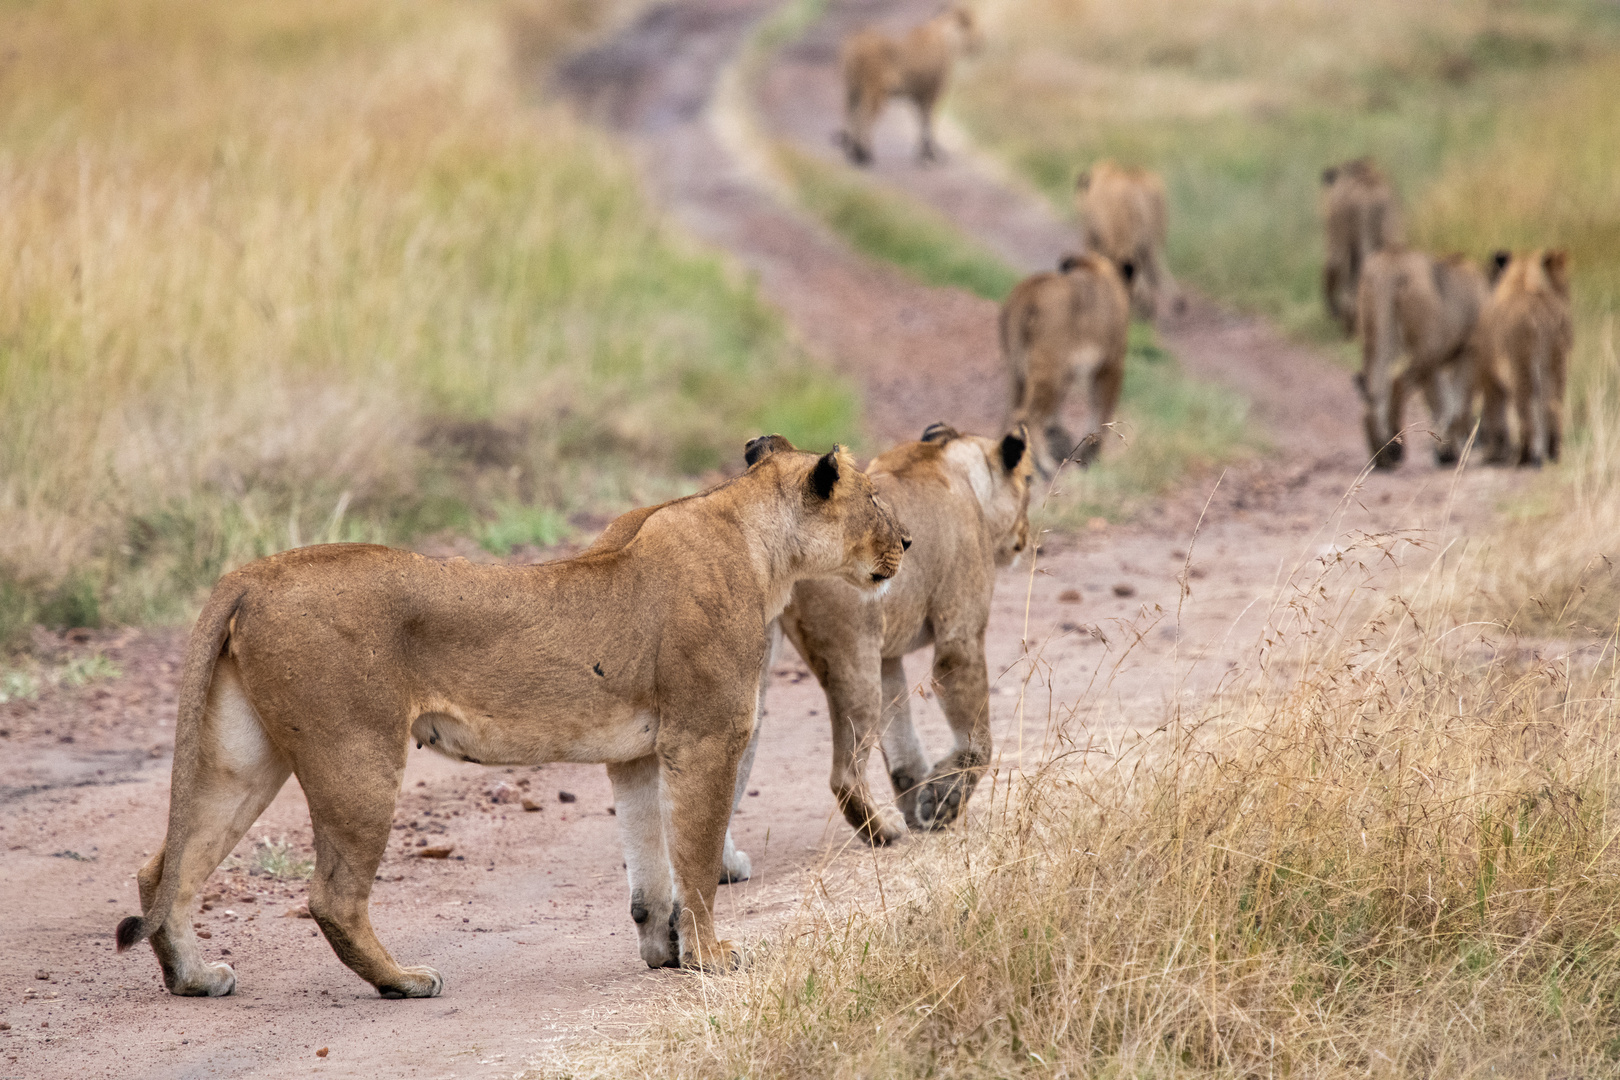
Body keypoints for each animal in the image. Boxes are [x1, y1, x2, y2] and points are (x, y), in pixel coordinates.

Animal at [842, 5, 978, 165]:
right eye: (970, 24)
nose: (981, 41)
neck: (947, 37)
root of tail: (857, 37)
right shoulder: (933, 92)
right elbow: (930, 121)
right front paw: (932, 154)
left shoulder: (917, 94)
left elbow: (921, 121)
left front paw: (923, 152)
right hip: (875, 90)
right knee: (864, 116)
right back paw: (863, 154)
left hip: (852, 89)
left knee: (850, 113)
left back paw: (852, 152)